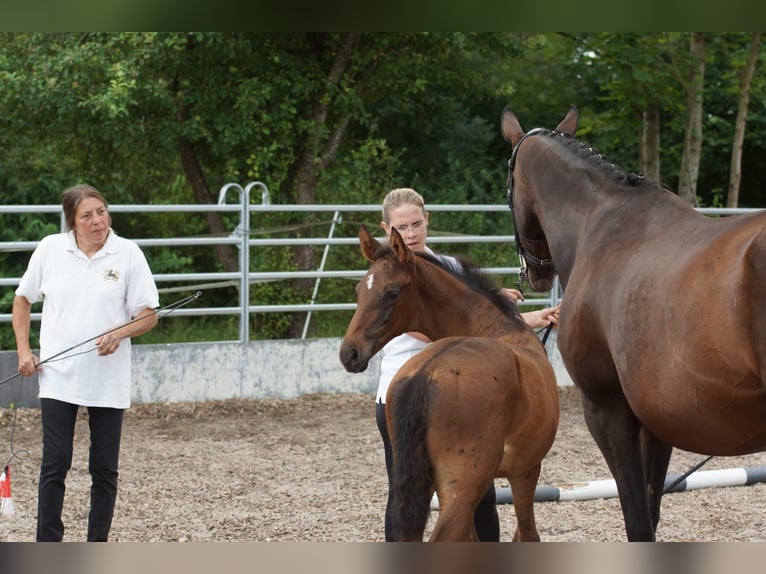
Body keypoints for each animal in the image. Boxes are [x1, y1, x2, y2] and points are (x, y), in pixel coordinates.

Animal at [339, 225, 559, 541]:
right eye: (359, 291)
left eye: (392, 293)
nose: (350, 353)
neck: (499, 329)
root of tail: (424, 375)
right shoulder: (526, 469)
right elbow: (527, 533)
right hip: (464, 488)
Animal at [500, 105, 766, 541]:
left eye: (507, 189)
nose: (535, 273)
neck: (600, 224)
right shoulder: (658, 420)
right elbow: (651, 511)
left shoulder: (607, 410)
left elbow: (637, 520)